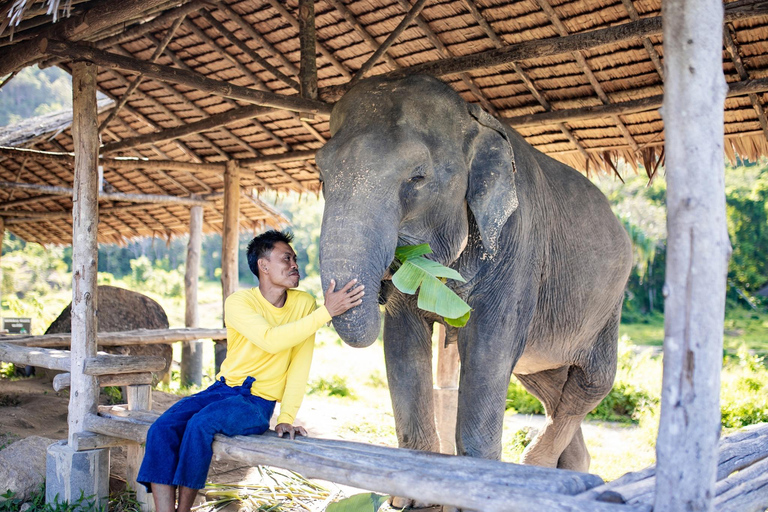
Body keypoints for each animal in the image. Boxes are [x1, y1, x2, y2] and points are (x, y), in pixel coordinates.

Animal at [316, 74, 632, 474]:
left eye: (417, 177)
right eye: (321, 176)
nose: (377, 288)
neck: (473, 119)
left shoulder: (518, 243)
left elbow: (489, 348)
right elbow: (402, 342)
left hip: (609, 307)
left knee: (591, 384)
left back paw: (536, 464)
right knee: (546, 382)